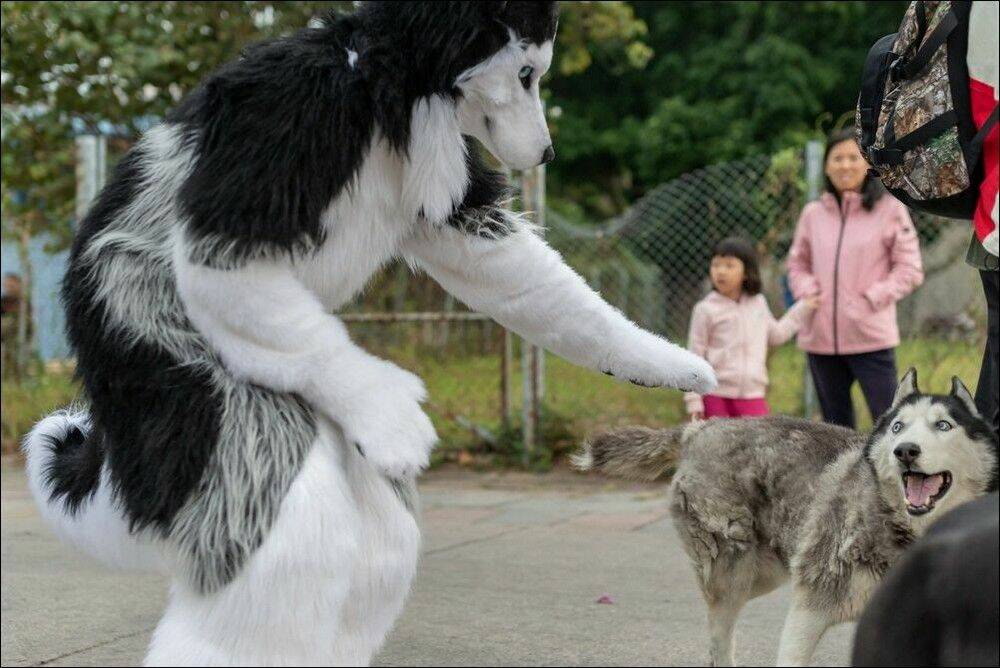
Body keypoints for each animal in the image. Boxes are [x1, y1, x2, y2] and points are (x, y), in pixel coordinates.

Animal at [576, 368, 996, 664]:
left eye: (943, 425)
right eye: (898, 427)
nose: (905, 450)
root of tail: (700, 429)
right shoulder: (809, 609)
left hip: (767, 573)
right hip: (733, 577)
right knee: (719, 643)